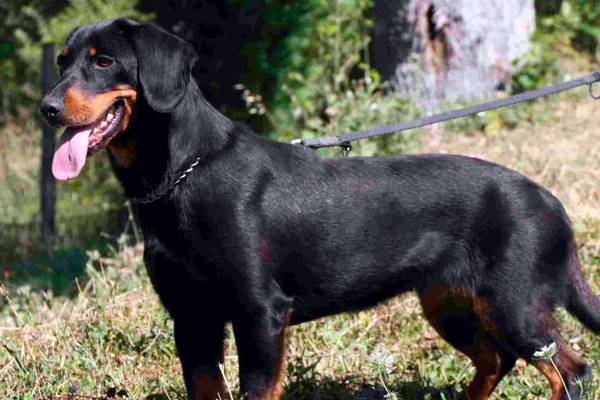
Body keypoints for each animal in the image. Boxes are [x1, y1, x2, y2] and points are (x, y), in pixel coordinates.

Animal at [42, 20, 600, 400]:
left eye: (103, 62)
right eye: (63, 61)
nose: (47, 108)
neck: (183, 173)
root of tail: (553, 203)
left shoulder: (260, 313)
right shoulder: (192, 316)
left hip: (514, 305)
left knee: (570, 370)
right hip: (449, 304)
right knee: (495, 361)